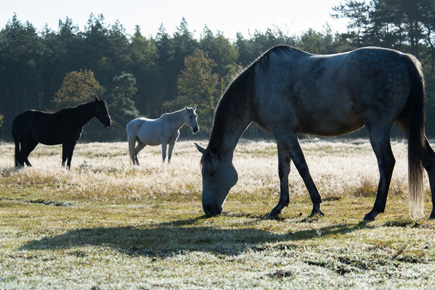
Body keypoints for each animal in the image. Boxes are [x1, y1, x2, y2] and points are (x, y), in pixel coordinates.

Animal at [197, 45, 435, 221]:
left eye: (211, 173)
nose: (208, 208)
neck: (256, 84)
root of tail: (404, 58)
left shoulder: (286, 133)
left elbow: (302, 167)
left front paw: (316, 206)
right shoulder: (281, 134)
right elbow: (283, 170)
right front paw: (279, 207)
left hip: (378, 126)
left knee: (386, 162)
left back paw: (375, 209)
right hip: (405, 121)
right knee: (428, 158)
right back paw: (432, 212)